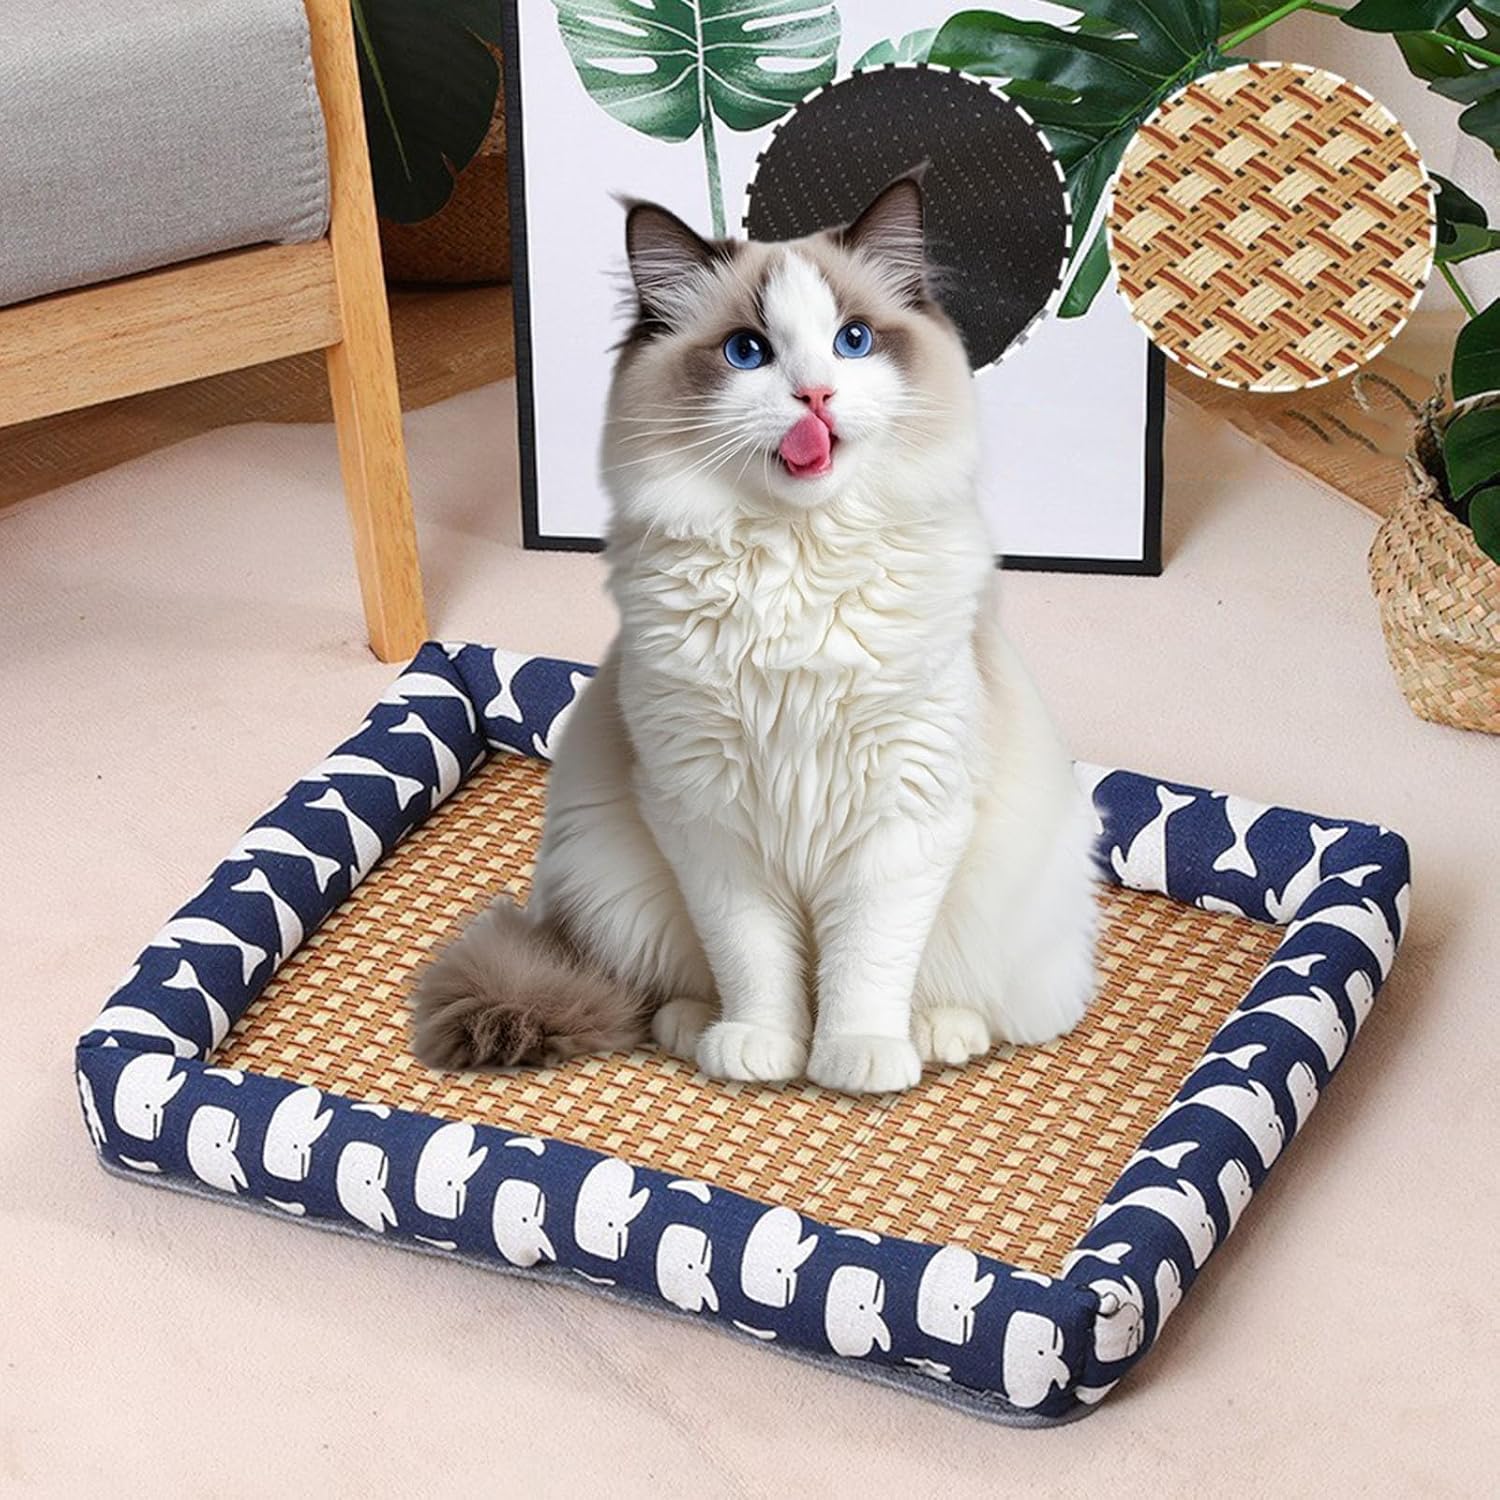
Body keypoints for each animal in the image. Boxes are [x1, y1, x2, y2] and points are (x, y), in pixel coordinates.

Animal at [411, 173, 1098, 1094]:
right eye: (747, 353)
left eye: (852, 341)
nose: (815, 397)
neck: (797, 569)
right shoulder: (712, 822)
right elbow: (757, 962)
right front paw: (765, 1050)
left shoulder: (902, 819)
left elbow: (864, 966)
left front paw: (856, 1061)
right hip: (614, 876)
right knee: (677, 986)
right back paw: (697, 1027)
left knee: (966, 1000)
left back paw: (936, 1036)